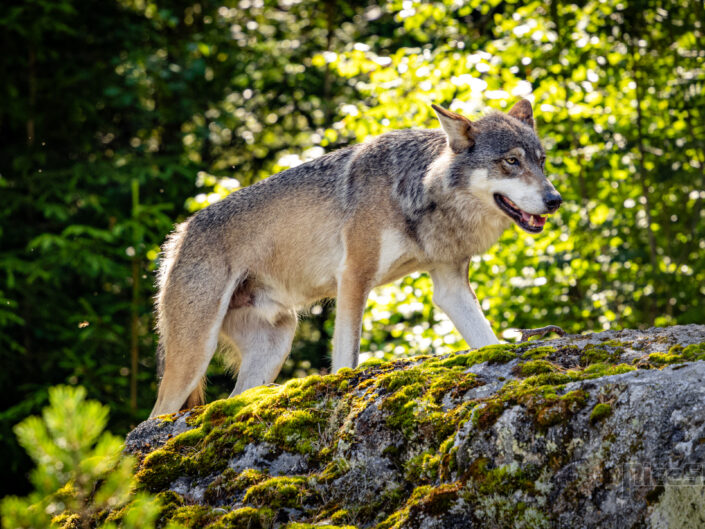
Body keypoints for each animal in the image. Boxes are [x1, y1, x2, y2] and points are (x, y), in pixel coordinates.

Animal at [149, 99, 561, 417]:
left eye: (542, 162)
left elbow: (487, 339)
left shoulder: (450, 286)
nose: (555, 199)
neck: (418, 192)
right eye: (511, 161)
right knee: (152, 419)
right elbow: (347, 356)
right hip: (195, 356)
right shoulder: (354, 277)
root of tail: (179, 236)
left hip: (276, 345)